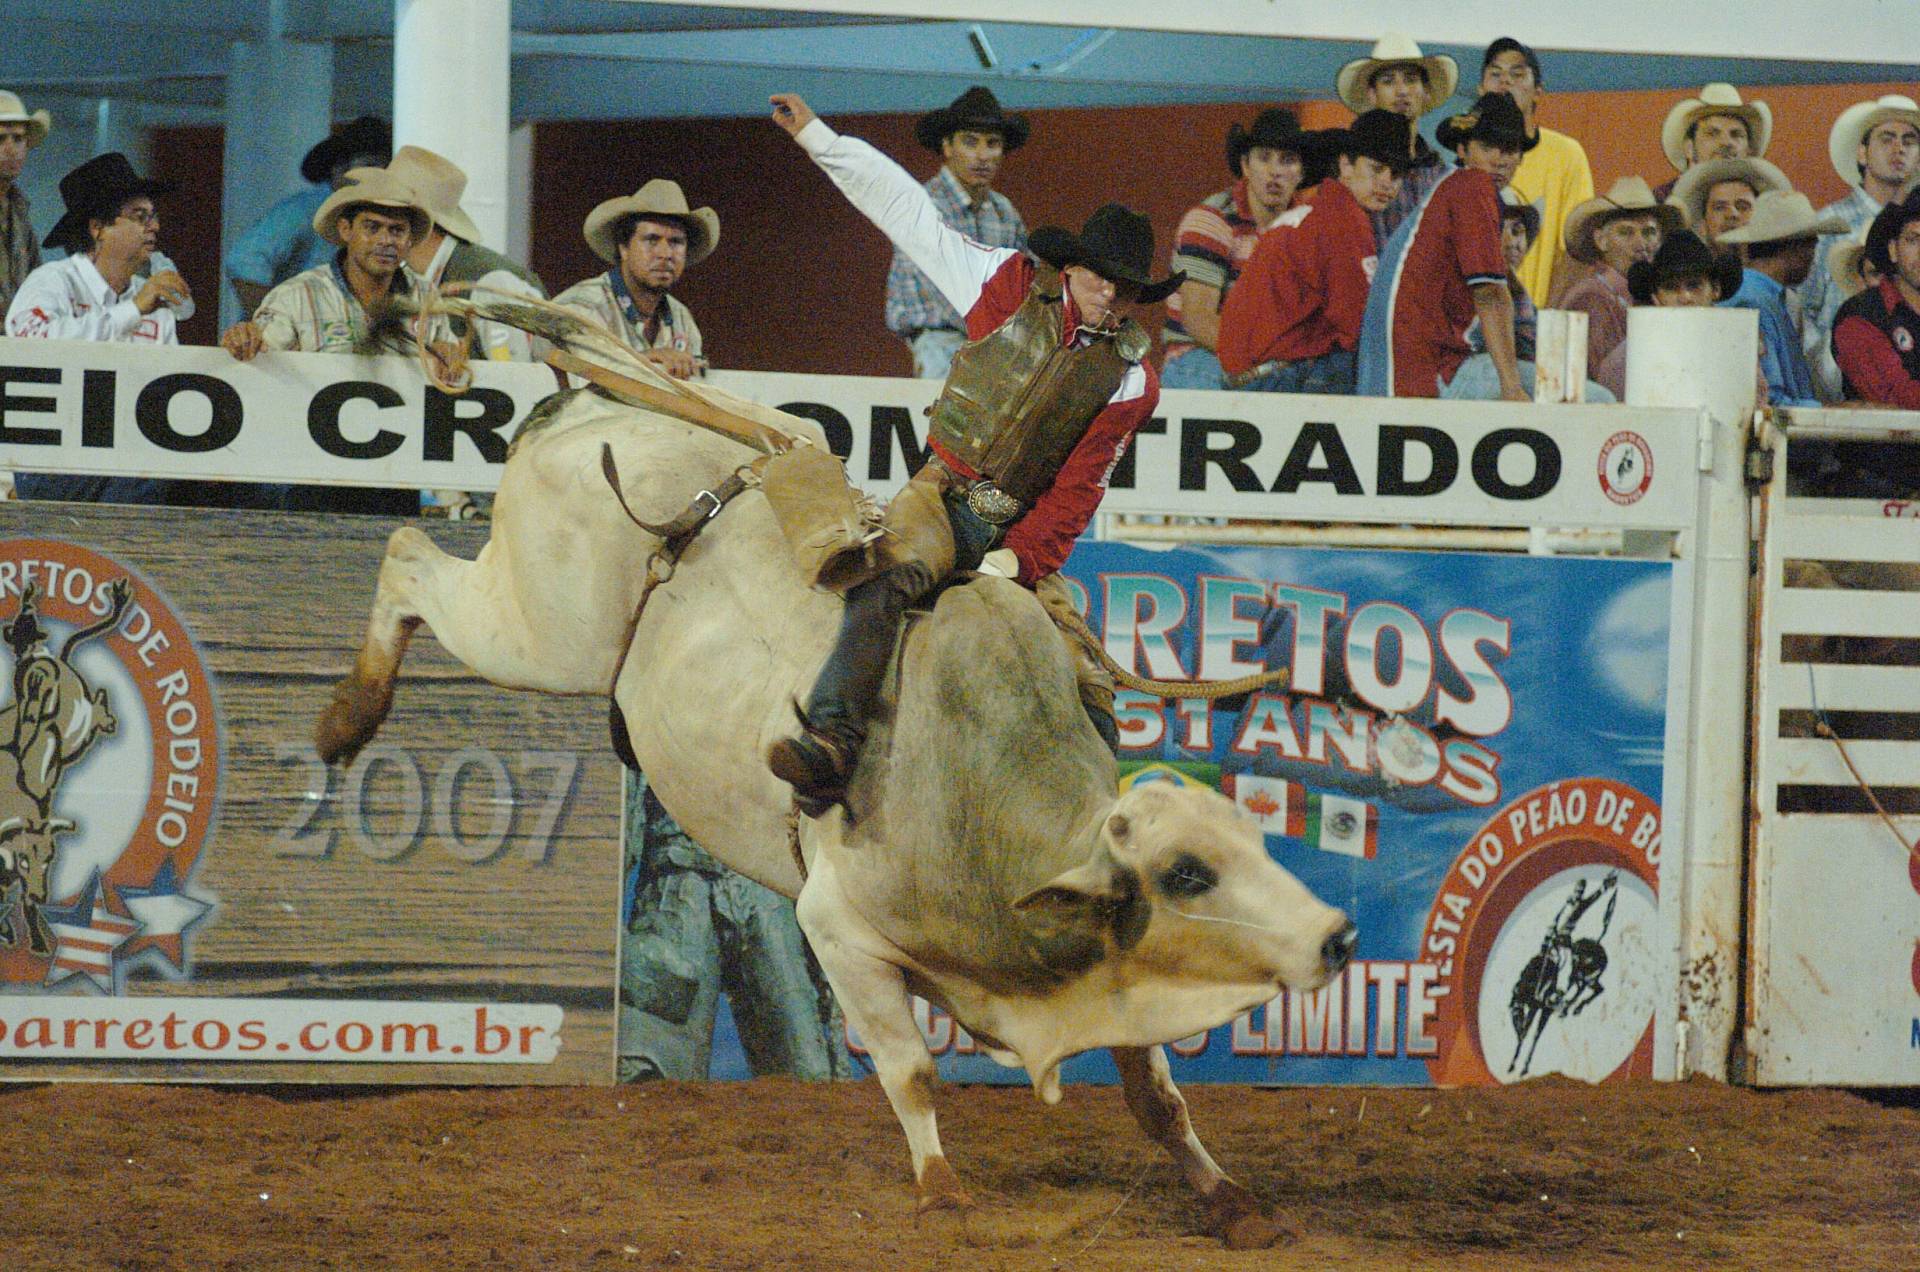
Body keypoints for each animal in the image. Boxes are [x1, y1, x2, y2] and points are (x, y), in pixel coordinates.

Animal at [314, 307, 1359, 1245]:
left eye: (1251, 845)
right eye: (1189, 874)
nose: (1338, 935)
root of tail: (590, 407)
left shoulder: (1114, 977)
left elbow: (1158, 1097)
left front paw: (1231, 1202)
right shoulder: (839, 931)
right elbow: (911, 1071)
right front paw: (941, 1191)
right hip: (538, 630)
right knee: (407, 561)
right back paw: (346, 719)